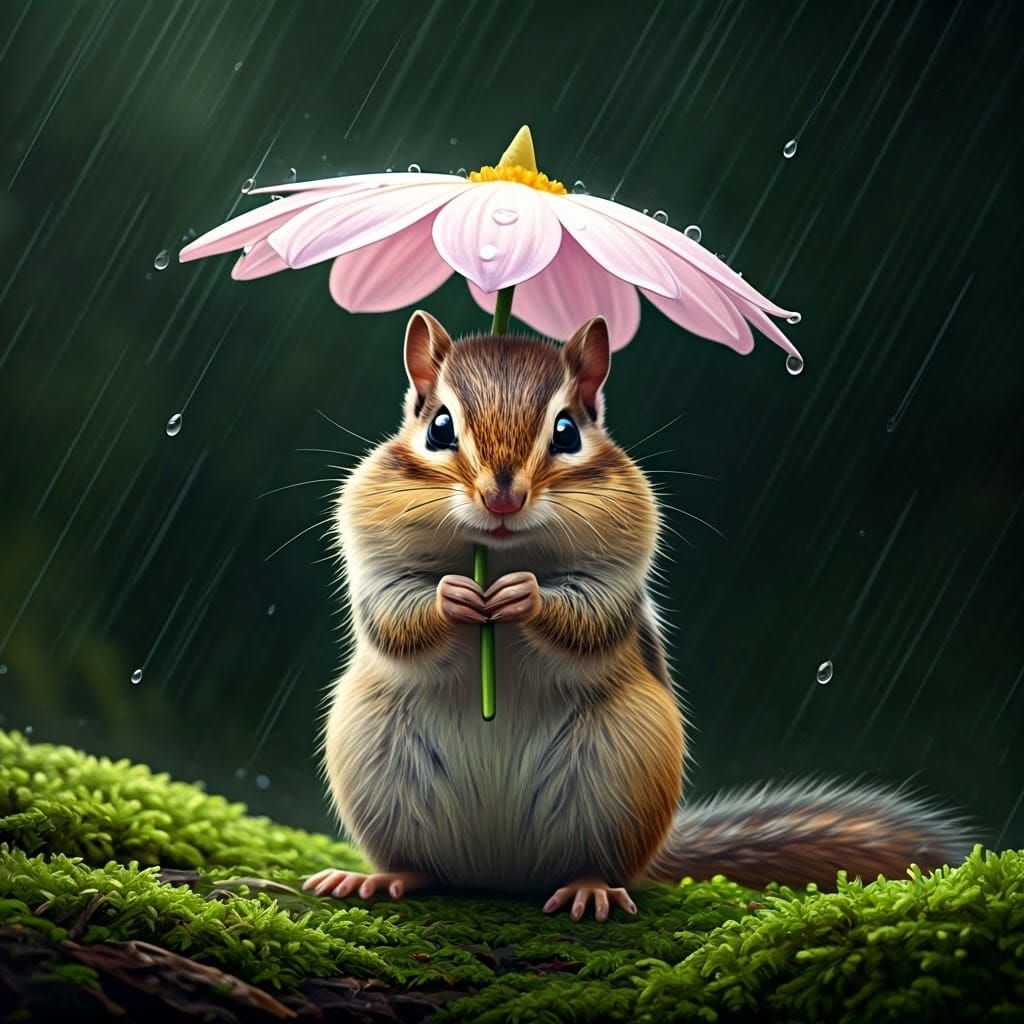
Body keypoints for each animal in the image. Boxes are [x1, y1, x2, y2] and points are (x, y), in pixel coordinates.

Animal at [302, 310, 970, 922]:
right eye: (439, 427)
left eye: (567, 432)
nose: (502, 498)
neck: (501, 550)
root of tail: (497, 871)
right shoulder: (373, 556)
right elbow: (392, 613)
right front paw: (454, 597)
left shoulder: (621, 568)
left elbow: (592, 615)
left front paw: (527, 596)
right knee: (423, 867)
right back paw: (379, 878)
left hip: (621, 769)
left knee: (597, 864)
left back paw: (590, 887)